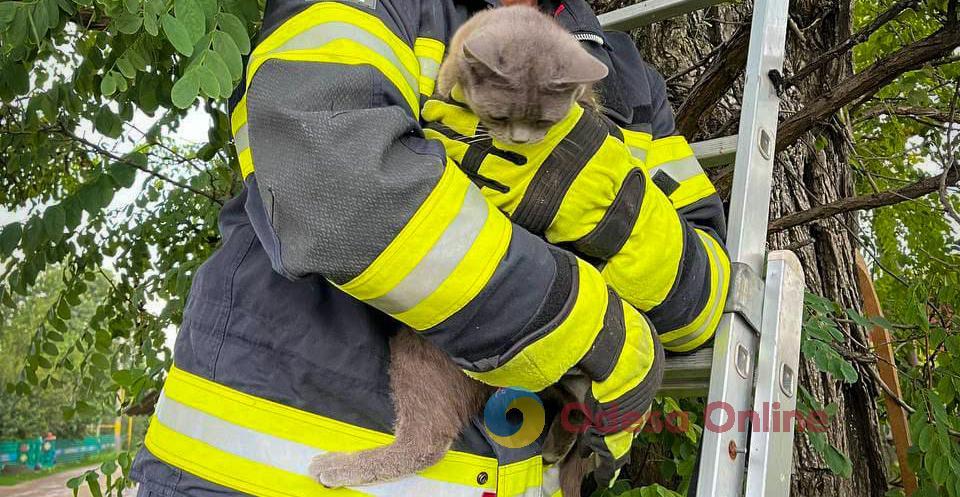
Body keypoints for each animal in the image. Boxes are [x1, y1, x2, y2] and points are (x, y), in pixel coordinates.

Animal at [308, 5, 608, 494]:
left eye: (546, 123)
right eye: (501, 115)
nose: (522, 141)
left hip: (421, 350)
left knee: (429, 440)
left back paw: (339, 467)